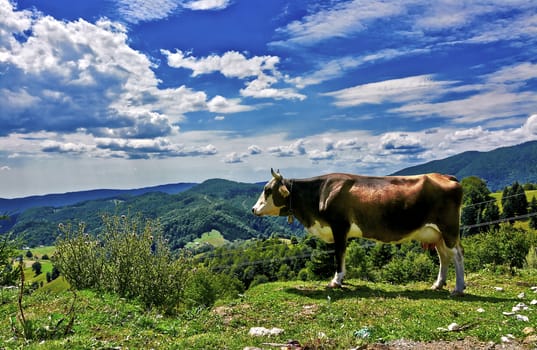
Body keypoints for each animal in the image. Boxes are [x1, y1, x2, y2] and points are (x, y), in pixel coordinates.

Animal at [251, 169, 464, 296]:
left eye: (267, 189)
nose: (253, 209)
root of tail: (445, 176)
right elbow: (343, 255)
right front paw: (342, 279)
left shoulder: (339, 226)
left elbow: (339, 254)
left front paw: (336, 281)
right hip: (437, 234)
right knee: (444, 256)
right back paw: (438, 284)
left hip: (448, 229)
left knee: (457, 255)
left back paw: (458, 288)